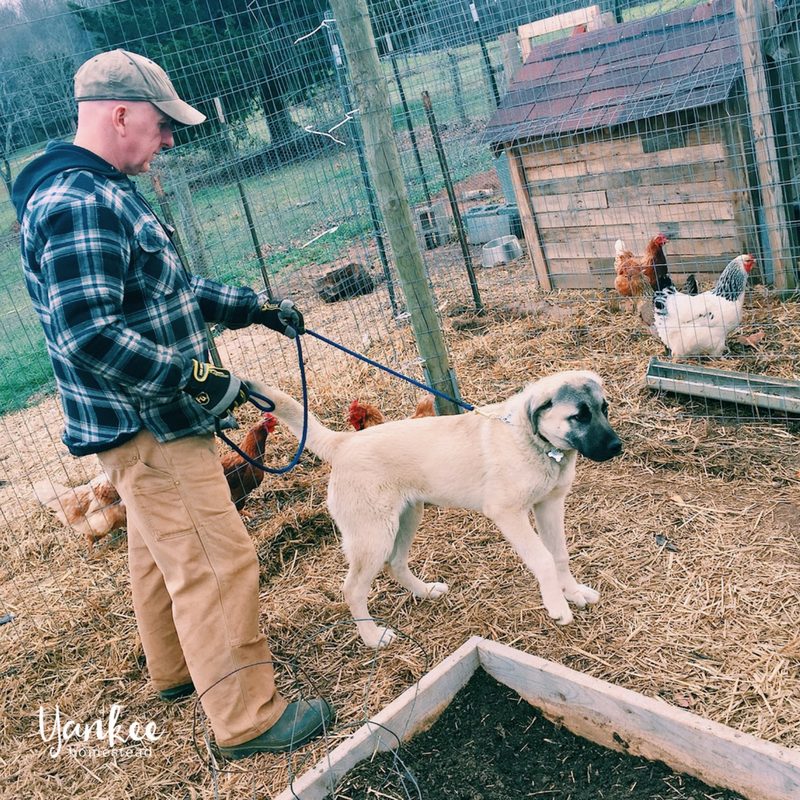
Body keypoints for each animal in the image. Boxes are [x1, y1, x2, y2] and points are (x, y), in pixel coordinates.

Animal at [247, 372, 620, 648]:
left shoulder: (549, 506)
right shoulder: (508, 513)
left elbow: (559, 556)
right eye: (579, 416)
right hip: (373, 536)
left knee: (396, 564)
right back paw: (372, 637)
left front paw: (573, 593)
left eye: (604, 408)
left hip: (407, 517)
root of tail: (344, 442)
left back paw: (424, 592)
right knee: (352, 589)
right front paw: (557, 606)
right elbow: (542, 558)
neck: (537, 443)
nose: (618, 447)